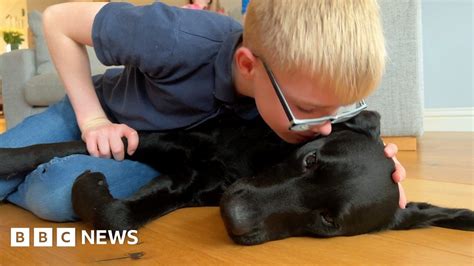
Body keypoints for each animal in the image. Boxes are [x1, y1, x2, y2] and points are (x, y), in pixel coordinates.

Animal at [0, 110, 472, 245]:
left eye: (328, 221)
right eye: (310, 160)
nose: (234, 215)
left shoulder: (185, 186)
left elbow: (116, 215)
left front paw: (94, 187)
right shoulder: (161, 137)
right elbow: (54, 148)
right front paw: (9, 158)